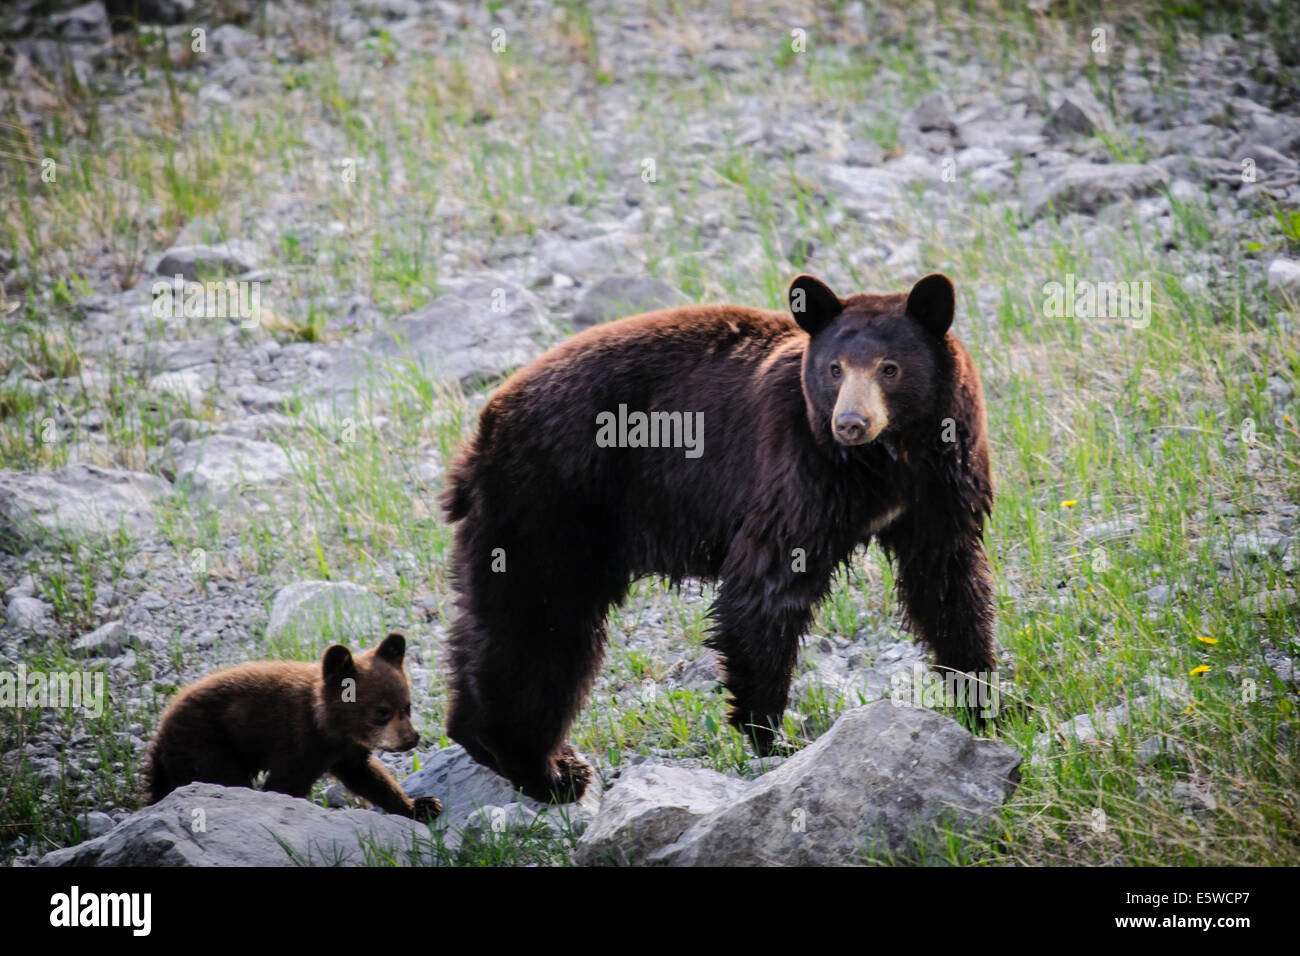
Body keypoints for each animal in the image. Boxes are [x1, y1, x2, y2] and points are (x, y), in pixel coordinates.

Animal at [146, 632, 441, 820]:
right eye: (381, 712)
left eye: (407, 707)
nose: (411, 738)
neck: (327, 727)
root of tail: (161, 735)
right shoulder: (295, 743)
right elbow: (283, 784)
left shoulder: (347, 754)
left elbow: (370, 778)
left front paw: (422, 805)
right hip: (206, 747)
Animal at [440, 272, 995, 803]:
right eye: (835, 369)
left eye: (889, 368)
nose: (850, 422)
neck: (889, 462)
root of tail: (483, 431)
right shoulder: (797, 469)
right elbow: (765, 588)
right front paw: (773, 737)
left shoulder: (944, 481)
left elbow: (948, 585)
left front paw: (983, 702)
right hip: (551, 501)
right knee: (542, 627)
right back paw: (550, 771)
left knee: (500, 627)